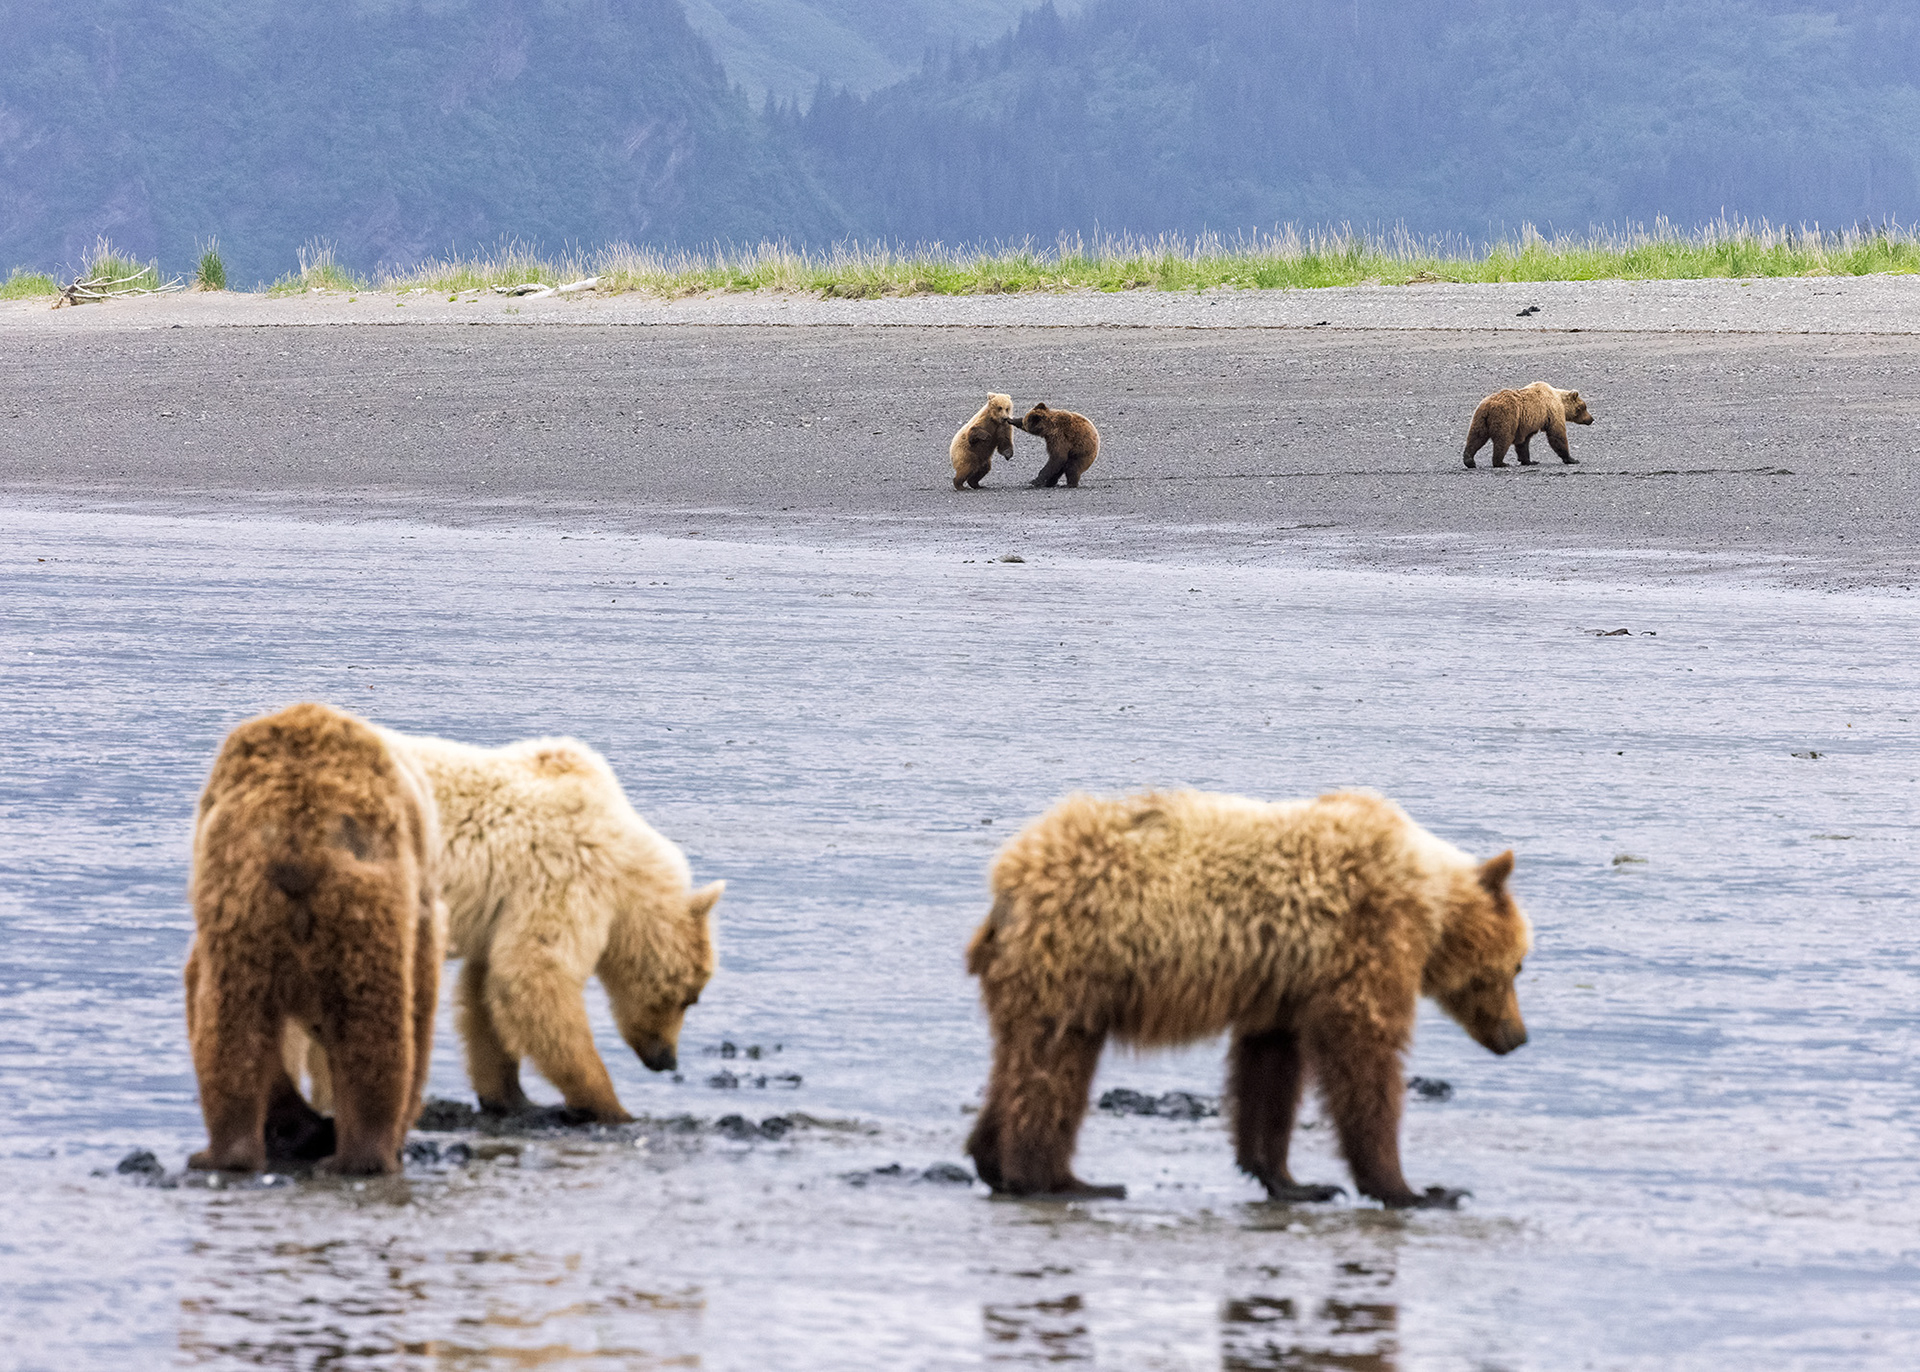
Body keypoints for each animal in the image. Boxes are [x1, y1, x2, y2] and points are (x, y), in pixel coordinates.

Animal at [183, 702, 445, 1175]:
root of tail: (299, 831)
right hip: (356, 904)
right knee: (372, 1017)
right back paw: (363, 1152)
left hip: (242, 901)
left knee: (232, 1016)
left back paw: (230, 1151)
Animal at [376, 728, 722, 1124]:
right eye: (689, 998)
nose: (667, 1060)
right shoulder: (566, 872)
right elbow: (535, 975)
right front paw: (611, 1104)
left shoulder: (504, 911)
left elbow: (486, 992)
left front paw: (511, 1095)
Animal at [964, 788, 1532, 1207]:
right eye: (1519, 965)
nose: (1518, 1036)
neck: (1429, 903)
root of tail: (1007, 882)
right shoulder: (1364, 938)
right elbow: (1363, 1053)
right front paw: (1416, 1189)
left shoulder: (1284, 983)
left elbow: (1270, 1069)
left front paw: (1294, 1181)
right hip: (1079, 961)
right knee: (1054, 1067)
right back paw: (1061, 1181)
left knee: (1022, 1061)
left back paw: (993, 1160)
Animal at [1462, 381, 1593, 468]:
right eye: (1584, 407)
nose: (1591, 419)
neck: (1560, 400)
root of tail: (1489, 406)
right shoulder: (1552, 412)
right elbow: (1557, 435)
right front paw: (1572, 459)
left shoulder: (1526, 423)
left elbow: (1523, 442)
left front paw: (1529, 461)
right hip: (1506, 418)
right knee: (1503, 439)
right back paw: (1501, 462)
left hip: (1480, 418)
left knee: (1475, 437)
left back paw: (1469, 460)